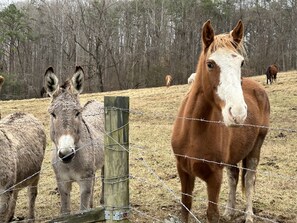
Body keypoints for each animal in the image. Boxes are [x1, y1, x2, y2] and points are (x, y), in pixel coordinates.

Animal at [43, 66, 104, 214]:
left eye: (77, 113)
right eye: (52, 114)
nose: (66, 154)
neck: (70, 164)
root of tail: (95, 101)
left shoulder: (85, 182)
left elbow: (83, 210)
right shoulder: (62, 182)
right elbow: (65, 211)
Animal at [170, 19, 270, 223]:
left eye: (241, 62)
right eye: (210, 64)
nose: (238, 113)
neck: (194, 130)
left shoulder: (214, 176)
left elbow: (212, 213)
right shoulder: (183, 170)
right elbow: (185, 207)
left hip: (255, 148)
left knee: (249, 180)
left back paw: (249, 215)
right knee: (234, 177)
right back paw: (230, 212)